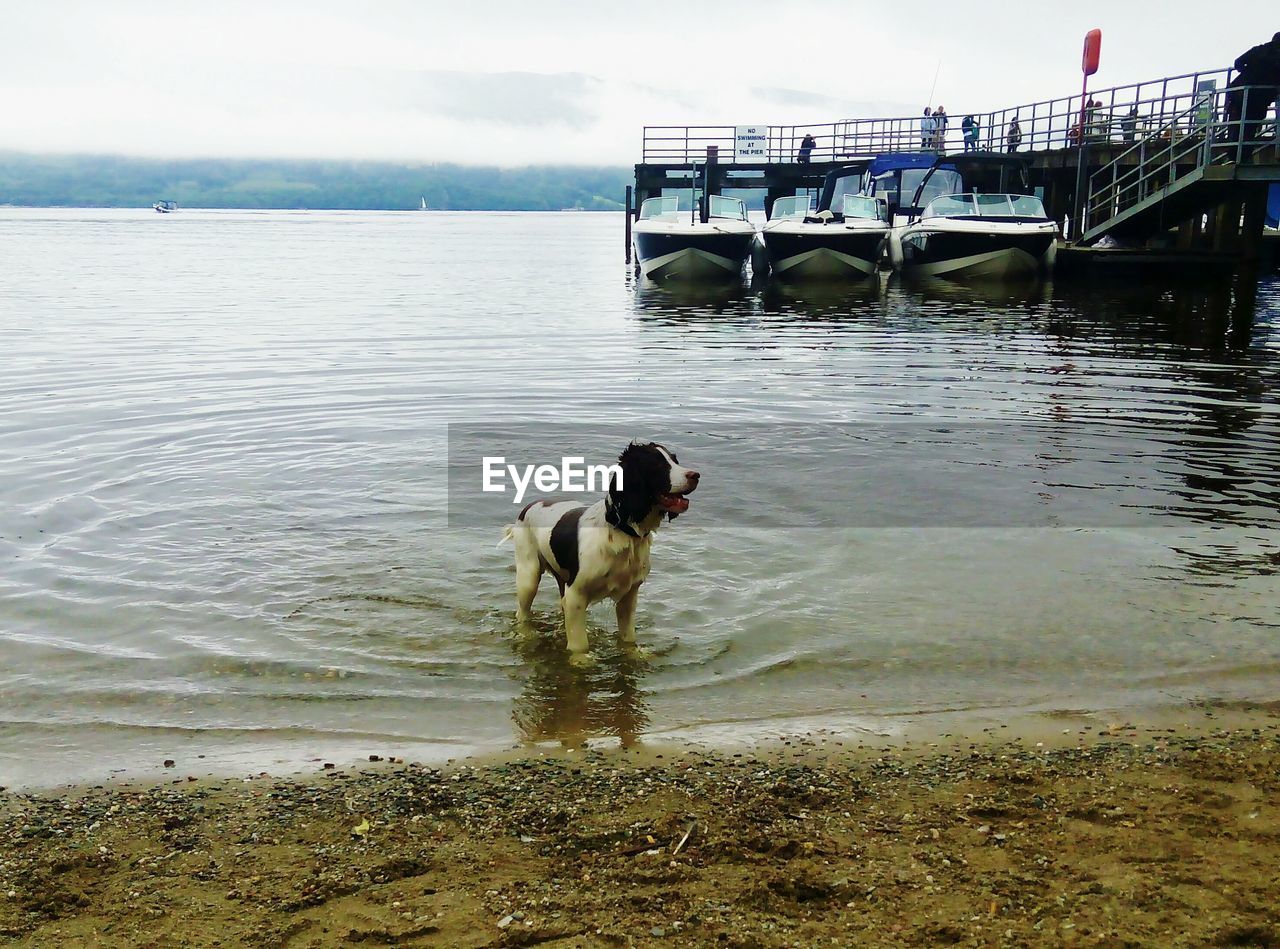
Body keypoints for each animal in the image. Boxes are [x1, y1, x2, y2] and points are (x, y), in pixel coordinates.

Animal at [499, 440, 701, 660]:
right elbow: (580, 644)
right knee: (523, 613)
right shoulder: (576, 594)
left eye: (675, 460)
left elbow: (627, 638)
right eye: (657, 463)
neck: (621, 530)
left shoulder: (629, 595)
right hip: (529, 575)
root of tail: (531, 504)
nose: (695, 475)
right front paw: (581, 662)